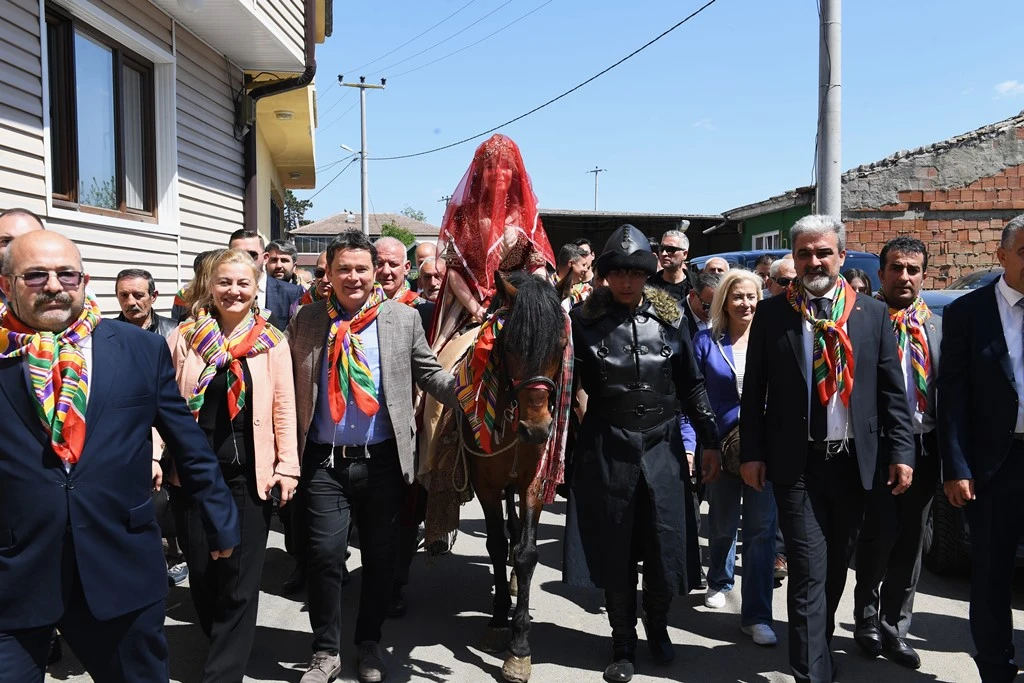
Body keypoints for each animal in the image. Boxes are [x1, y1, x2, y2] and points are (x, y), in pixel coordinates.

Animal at [460, 270, 573, 679]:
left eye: (561, 343)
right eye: (509, 345)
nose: (537, 429)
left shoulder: (533, 483)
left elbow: (526, 553)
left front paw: (520, 647)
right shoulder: (487, 484)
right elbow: (494, 544)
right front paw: (497, 622)